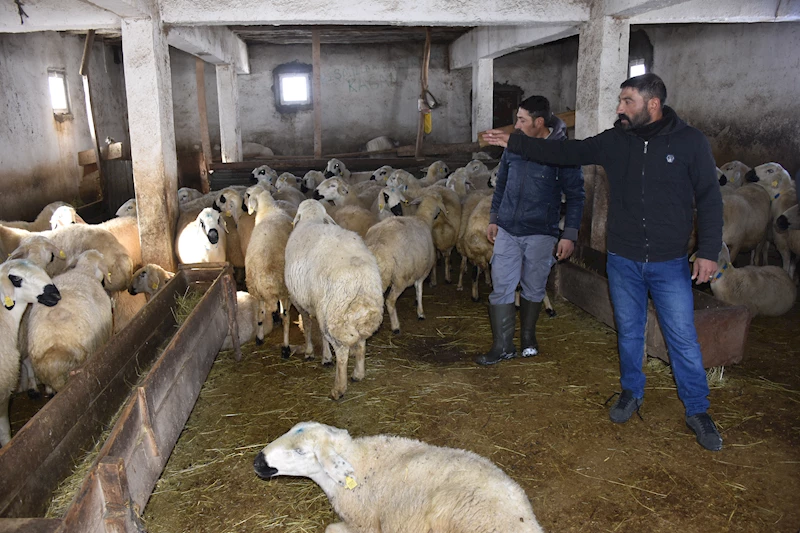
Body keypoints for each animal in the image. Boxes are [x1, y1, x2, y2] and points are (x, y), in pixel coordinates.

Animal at [284, 201, 384, 400]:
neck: (311, 219)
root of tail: (360, 279)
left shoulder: (300, 301)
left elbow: (308, 325)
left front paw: (312, 353)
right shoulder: (317, 305)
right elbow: (319, 332)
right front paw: (325, 356)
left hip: (334, 315)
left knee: (343, 351)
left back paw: (338, 389)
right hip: (352, 317)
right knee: (361, 344)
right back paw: (358, 374)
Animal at [364, 191, 440, 332]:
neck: (423, 218)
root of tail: (377, 243)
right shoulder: (422, 272)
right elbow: (419, 291)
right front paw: (420, 313)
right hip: (399, 278)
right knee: (389, 302)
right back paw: (395, 327)